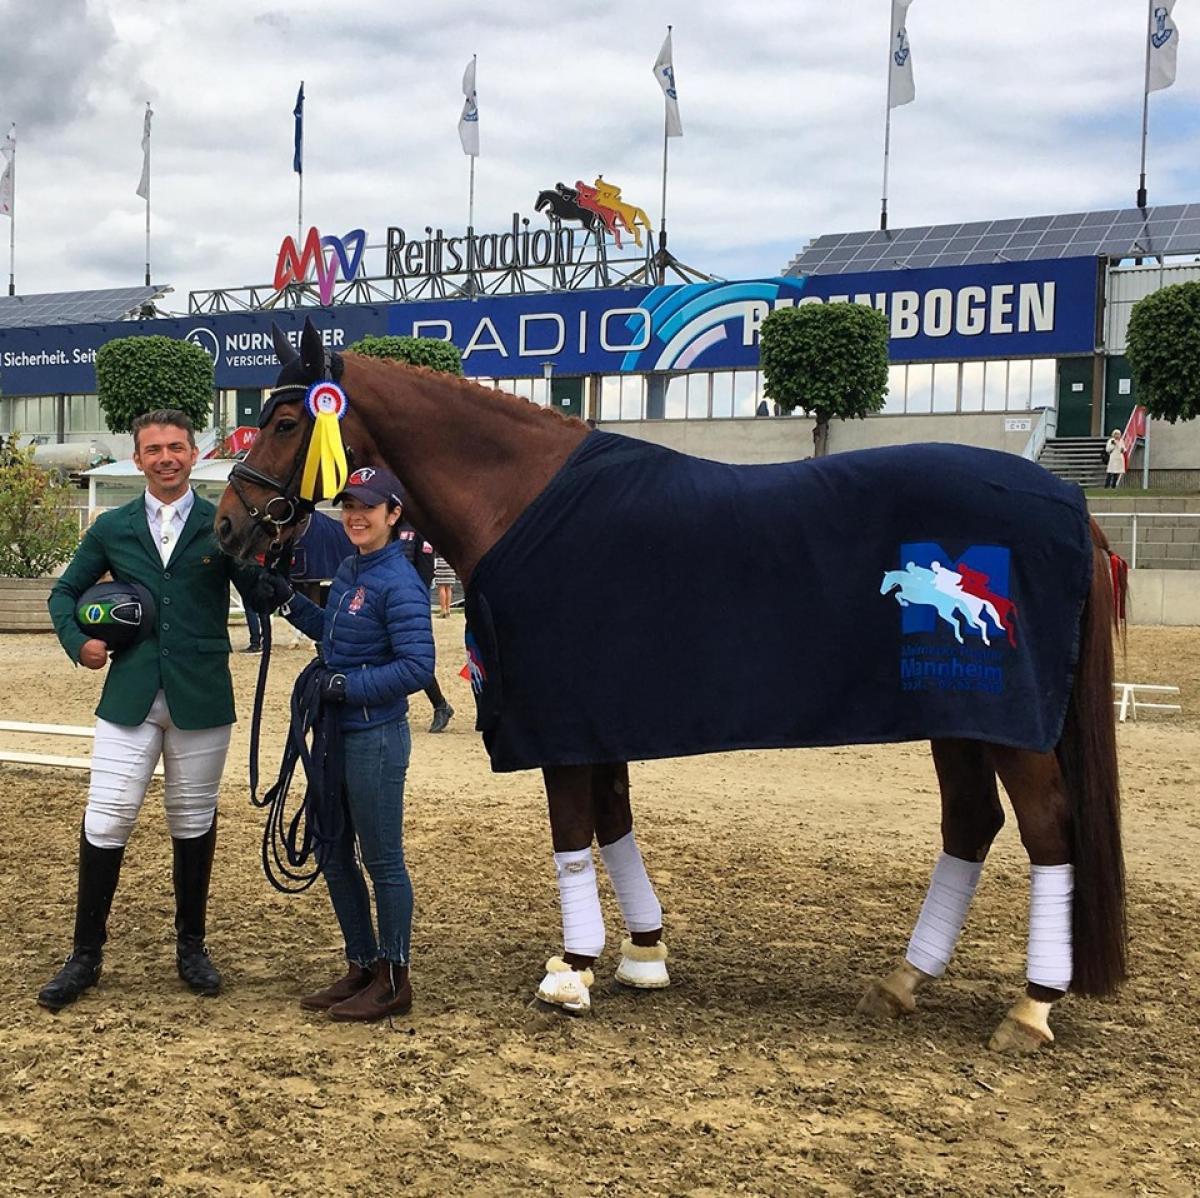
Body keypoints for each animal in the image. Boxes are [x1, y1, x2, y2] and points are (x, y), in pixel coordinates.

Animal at [216, 316, 1123, 1051]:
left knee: (1048, 832)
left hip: (1009, 728)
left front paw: (573, 969)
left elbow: (573, 831)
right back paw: (907, 979)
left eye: (287, 420)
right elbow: (614, 822)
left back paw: (1032, 1006)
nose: (227, 528)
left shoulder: (560, 720)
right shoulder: (598, 718)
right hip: (962, 724)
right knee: (970, 825)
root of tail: (1066, 499)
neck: (522, 500)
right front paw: (643, 954)